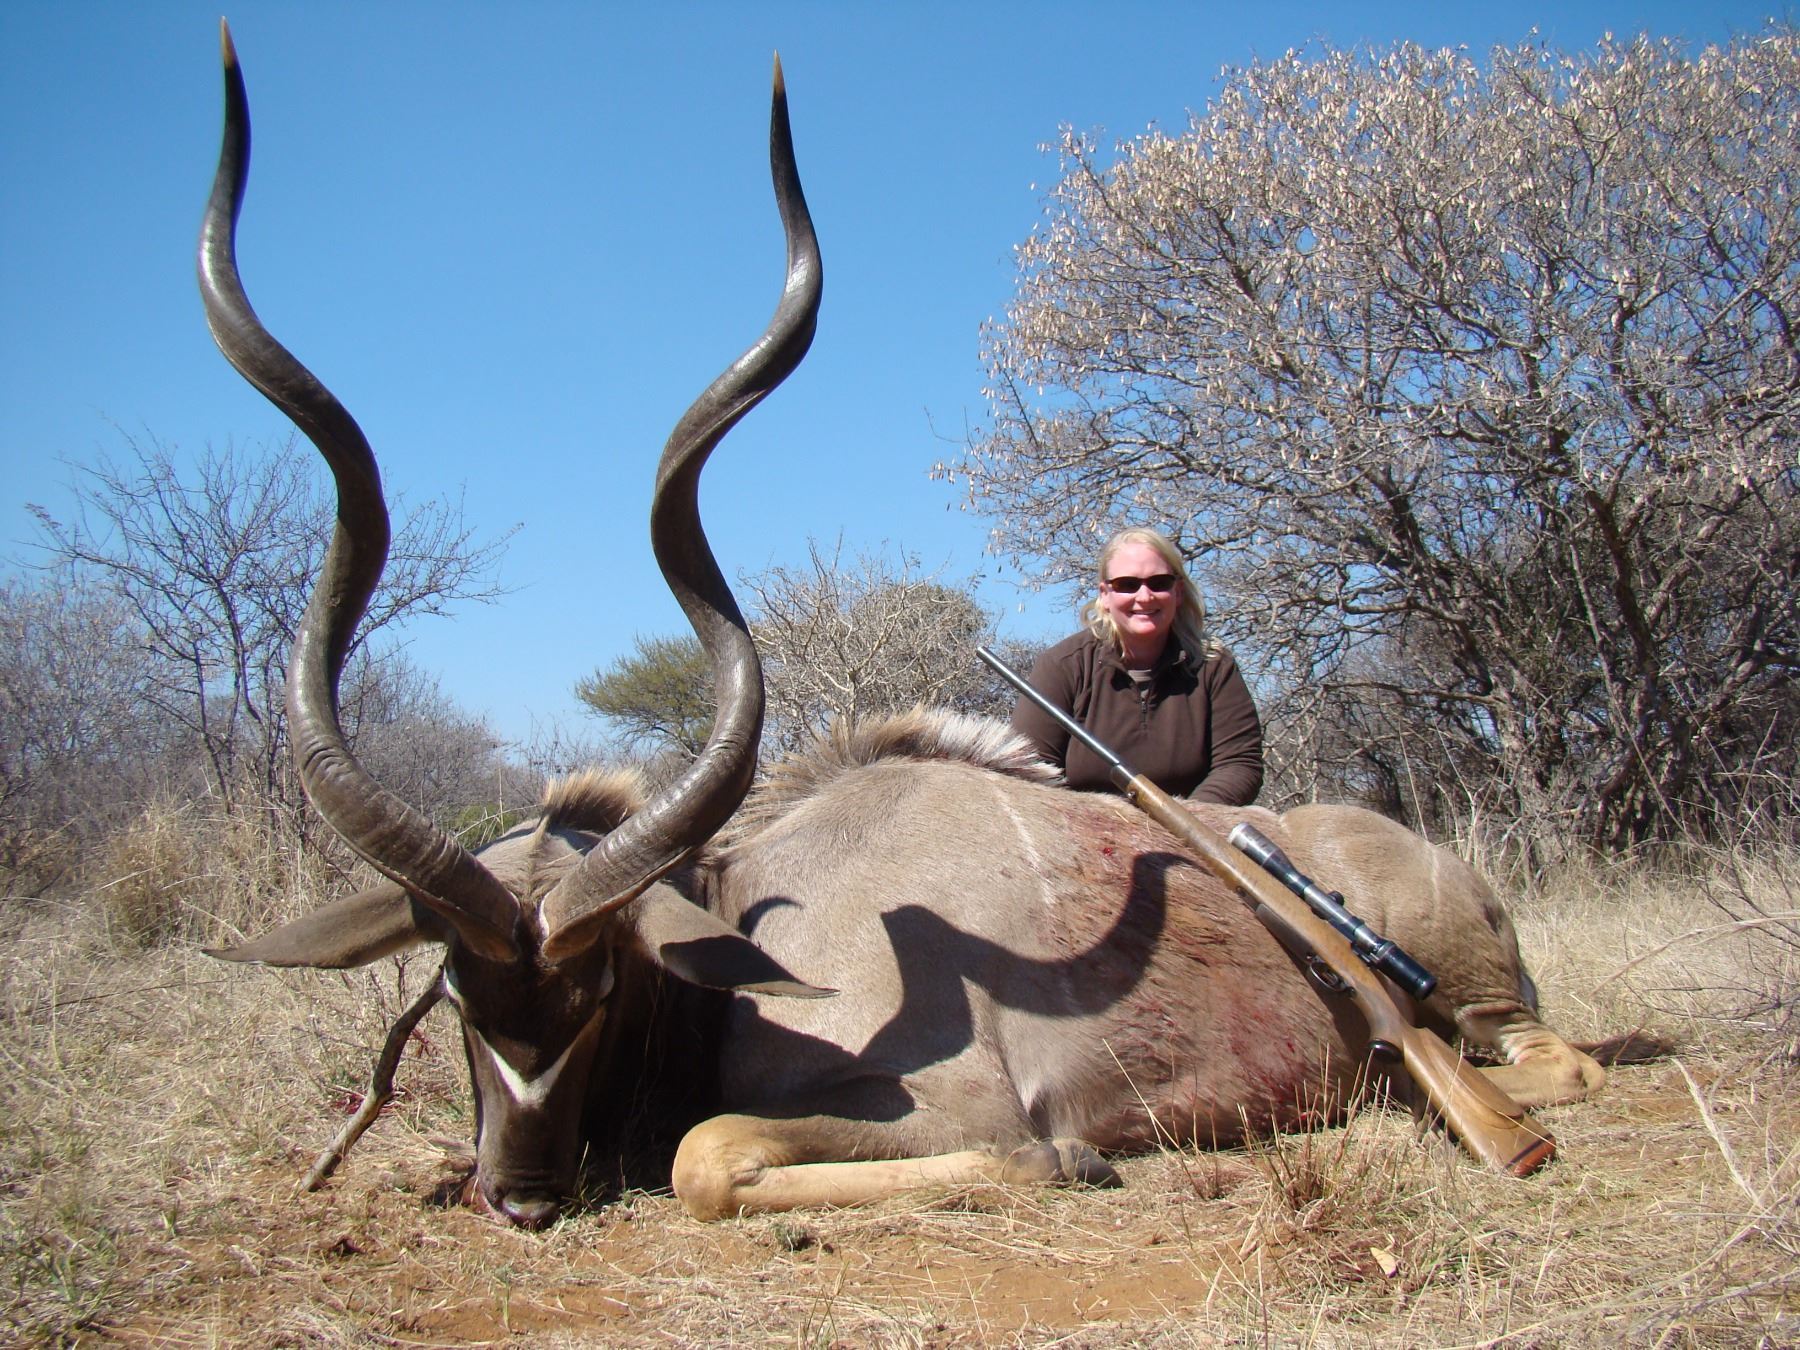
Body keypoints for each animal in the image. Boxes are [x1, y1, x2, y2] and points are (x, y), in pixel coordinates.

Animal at [199, 24, 1612, 1228]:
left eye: (599, 985)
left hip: (1489, 1014)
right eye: (451, 987)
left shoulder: (956, 1108)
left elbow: (716, 1155)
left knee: (1564, 1067)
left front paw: (1078, 1160)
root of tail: (1453, 871)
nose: (526, 1194)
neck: (757, 920)